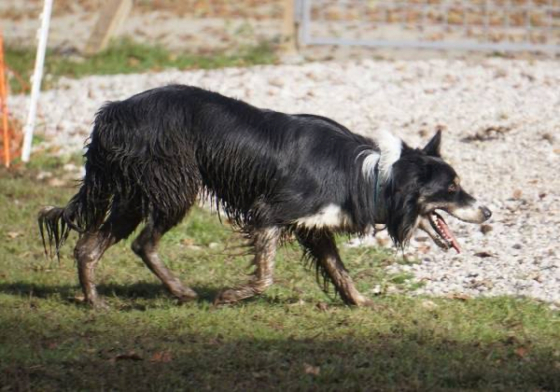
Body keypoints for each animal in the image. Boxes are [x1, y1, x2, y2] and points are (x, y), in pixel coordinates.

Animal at [39, 84, 490, 308]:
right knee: (143, 243)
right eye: (452, 188)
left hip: (133, 195)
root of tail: (112, 112)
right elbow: (266, 275)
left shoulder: (315, 228)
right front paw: (229, 296)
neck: (370, 177)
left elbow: (339, 270)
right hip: (173, 188)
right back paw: (181, 292)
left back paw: (95, 303)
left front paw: (362, 303)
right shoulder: (268, 213)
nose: (486, 212)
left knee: (89, 247)